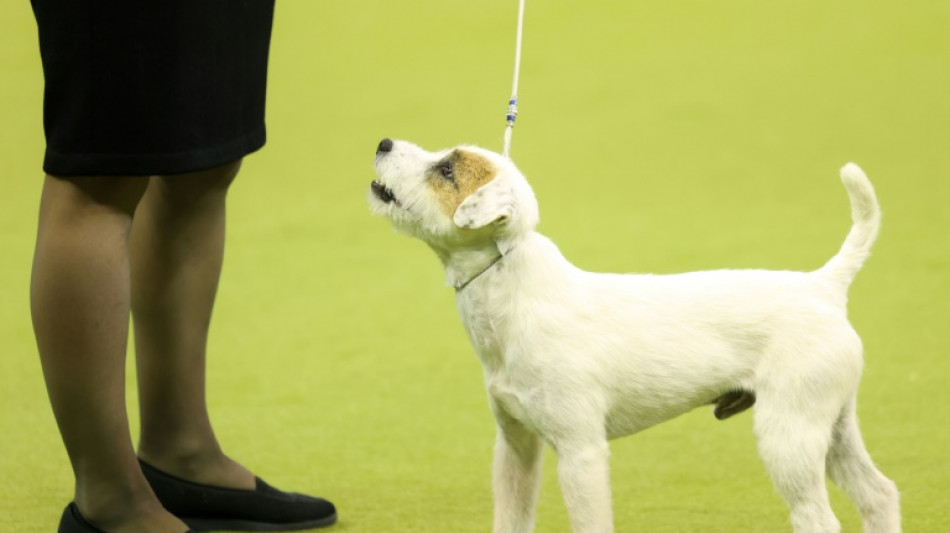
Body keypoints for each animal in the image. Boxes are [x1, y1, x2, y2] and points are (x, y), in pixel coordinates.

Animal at [368, 138, 904, 532]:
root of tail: (824, 285)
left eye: (448, 171)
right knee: (879, 495)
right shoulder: (516, 446)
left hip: (788, 437)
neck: (515, 293)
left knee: (820, 518)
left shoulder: (581, 452)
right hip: (833, 428)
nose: (383, 142)